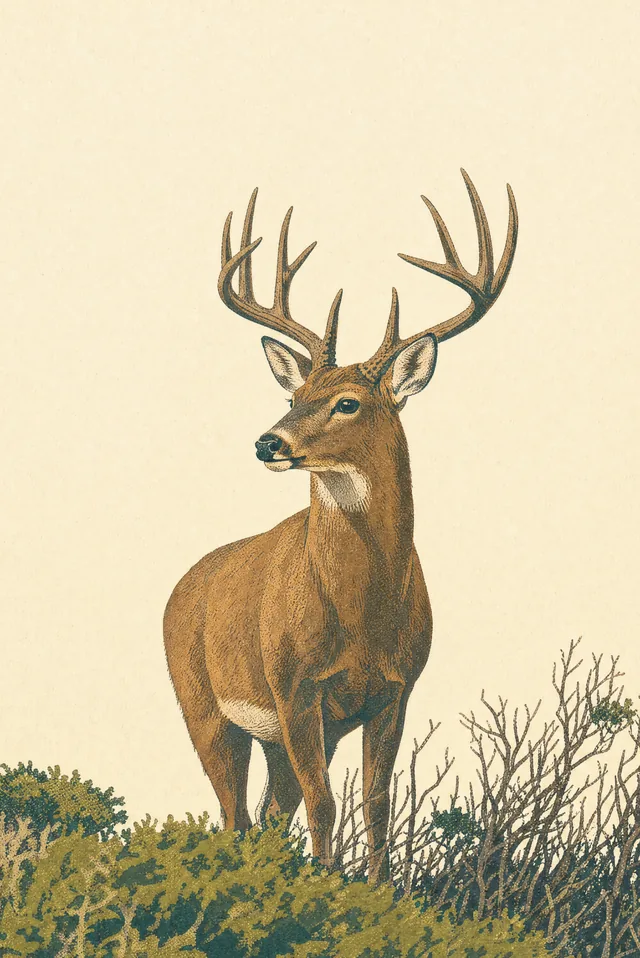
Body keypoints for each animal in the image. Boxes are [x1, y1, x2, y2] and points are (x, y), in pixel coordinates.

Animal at [164, 170, 518, 884]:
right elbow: (326, 804)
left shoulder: (394, 692)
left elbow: (376, 801)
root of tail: (181, 585)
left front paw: (379, 891)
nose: (268, 442)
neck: (361, 614)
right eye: (293, 396)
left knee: (267, 814)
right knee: (235, 814)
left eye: (347, 402)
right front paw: (328, 888)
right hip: (204, 705)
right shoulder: (296, 688)